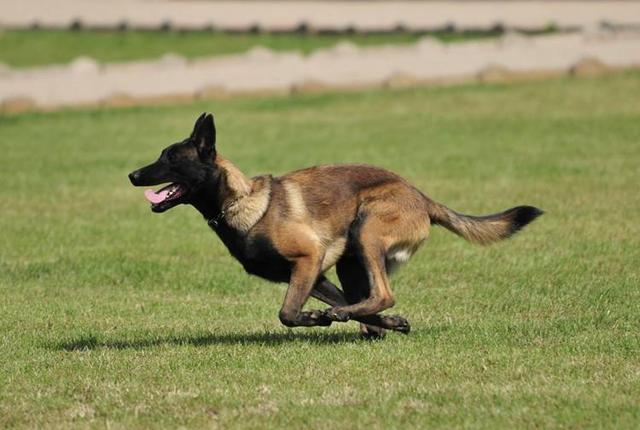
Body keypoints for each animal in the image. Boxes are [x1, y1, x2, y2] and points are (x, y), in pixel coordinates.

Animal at [127, 112, 544, 338]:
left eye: (170, 158)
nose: (132, 175)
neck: (242, 202)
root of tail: (423, 197)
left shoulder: (308, 259)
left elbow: (287, 313)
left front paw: (315, 318)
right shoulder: (315, 274)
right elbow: (349, 307)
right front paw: (388, 324)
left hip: (366, 230)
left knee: (383, 293)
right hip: (350, 260)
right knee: (367, 300)